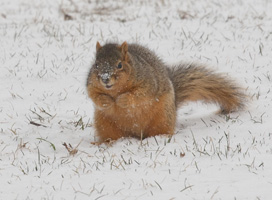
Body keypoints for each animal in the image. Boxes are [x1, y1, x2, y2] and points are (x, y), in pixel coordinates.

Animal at [87, 41, 246, 143]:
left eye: (120, 65)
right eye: (96, 65)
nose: (105, 78)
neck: (115, 90)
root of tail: (136, 134)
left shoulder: (149, 82)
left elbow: (140, 94)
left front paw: (123, 99)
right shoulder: (90, 84)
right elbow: (93, 94)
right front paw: (105, 100)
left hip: (163, 117)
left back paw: (160, 138)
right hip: (105, 124)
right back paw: (105, 143)